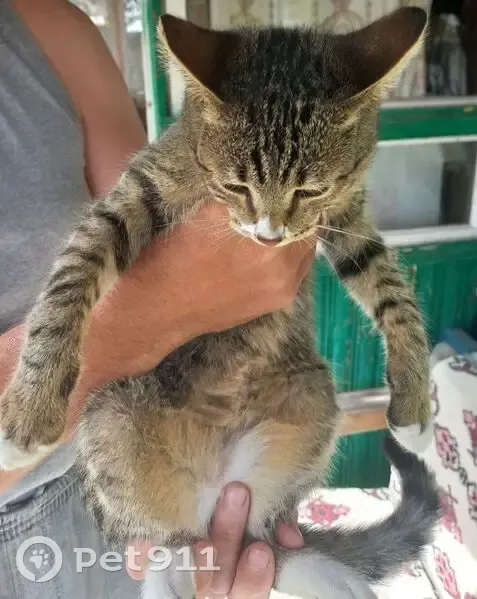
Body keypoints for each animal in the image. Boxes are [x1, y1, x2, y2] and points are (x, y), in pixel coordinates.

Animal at [0, 7, 438, 598]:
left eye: (311, 190)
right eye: (236, 186)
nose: (271, 235)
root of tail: (214, 494)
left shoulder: (345, 217)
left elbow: (391, 289)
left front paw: (414, 404)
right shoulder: (137, 189)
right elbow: (72, 274)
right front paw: (31, 404)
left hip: (310, 404)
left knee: (266, 545)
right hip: (110, 424)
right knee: (167, 547)